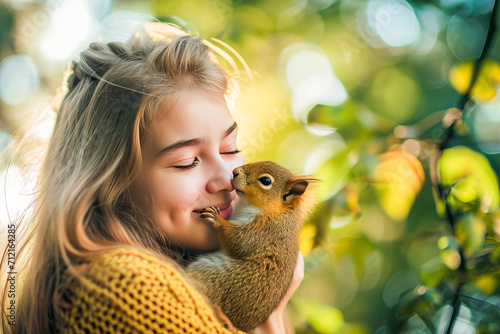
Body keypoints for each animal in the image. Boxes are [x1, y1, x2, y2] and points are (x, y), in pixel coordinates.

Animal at [186, 161, 314, 332]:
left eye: (266, 181)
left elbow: (239, 241)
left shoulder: (265, 232)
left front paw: (218, 218)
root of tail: (238, 324)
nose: (235, 171)